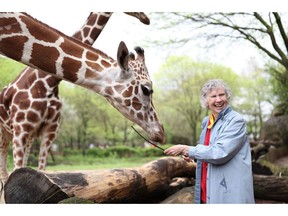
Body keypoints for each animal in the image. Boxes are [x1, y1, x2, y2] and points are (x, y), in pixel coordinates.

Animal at [0, 12, 165, 186]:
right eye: (146, 89)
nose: (161, 133)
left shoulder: (49, 130)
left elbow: (40, 169)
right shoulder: (21, 128)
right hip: (6, 132)